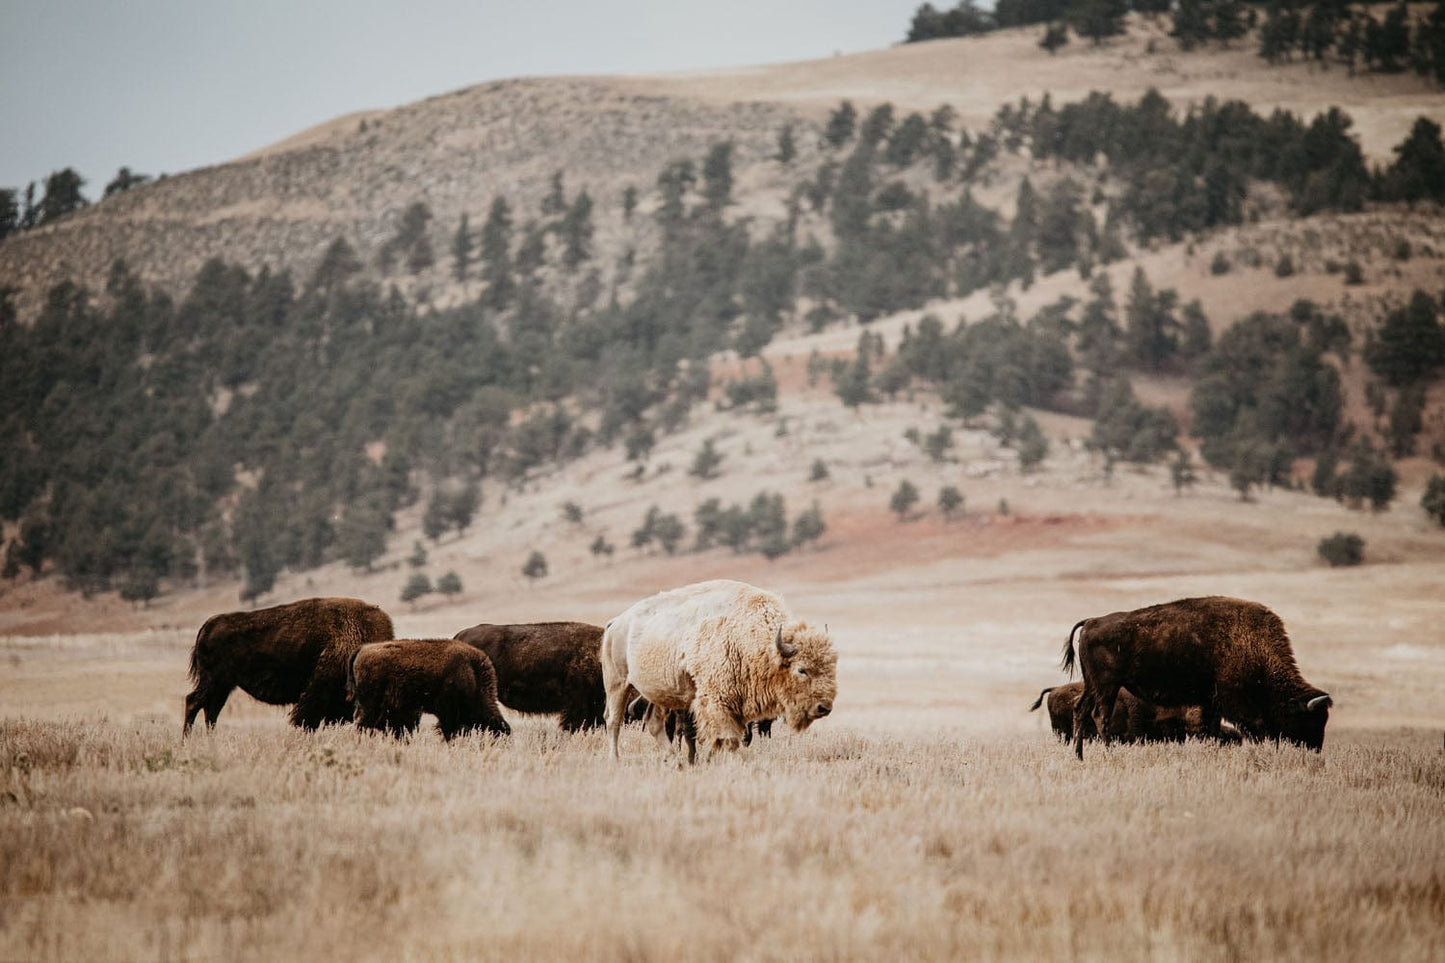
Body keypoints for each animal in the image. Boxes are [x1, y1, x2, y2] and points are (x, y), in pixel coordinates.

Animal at [184, 597, 394, 734]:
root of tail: (208, 625)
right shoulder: (315, 693)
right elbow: (305, 720)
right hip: (213, 680)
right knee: (194, 702)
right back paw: (187, 741)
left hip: (224, 686)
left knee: (211, 711)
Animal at [348, 639, 511, 740]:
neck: (472, 673)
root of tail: (363, 649)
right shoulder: (448, 711)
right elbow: (448, 730)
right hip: (369, 703)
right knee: (362, 722)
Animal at [1062, 596, 1331, 759]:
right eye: (1309, 720)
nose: (1315, 750)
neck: (1252, 646)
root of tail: (1092, 622)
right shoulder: (1234, 701)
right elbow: (1254, 727)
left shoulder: (1210, 702)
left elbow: (1210, 729)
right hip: (1107, 685)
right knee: (1100, 715)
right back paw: (1108, 752)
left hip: (1093, 685)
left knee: (1080, 710)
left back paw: (1079, 756)